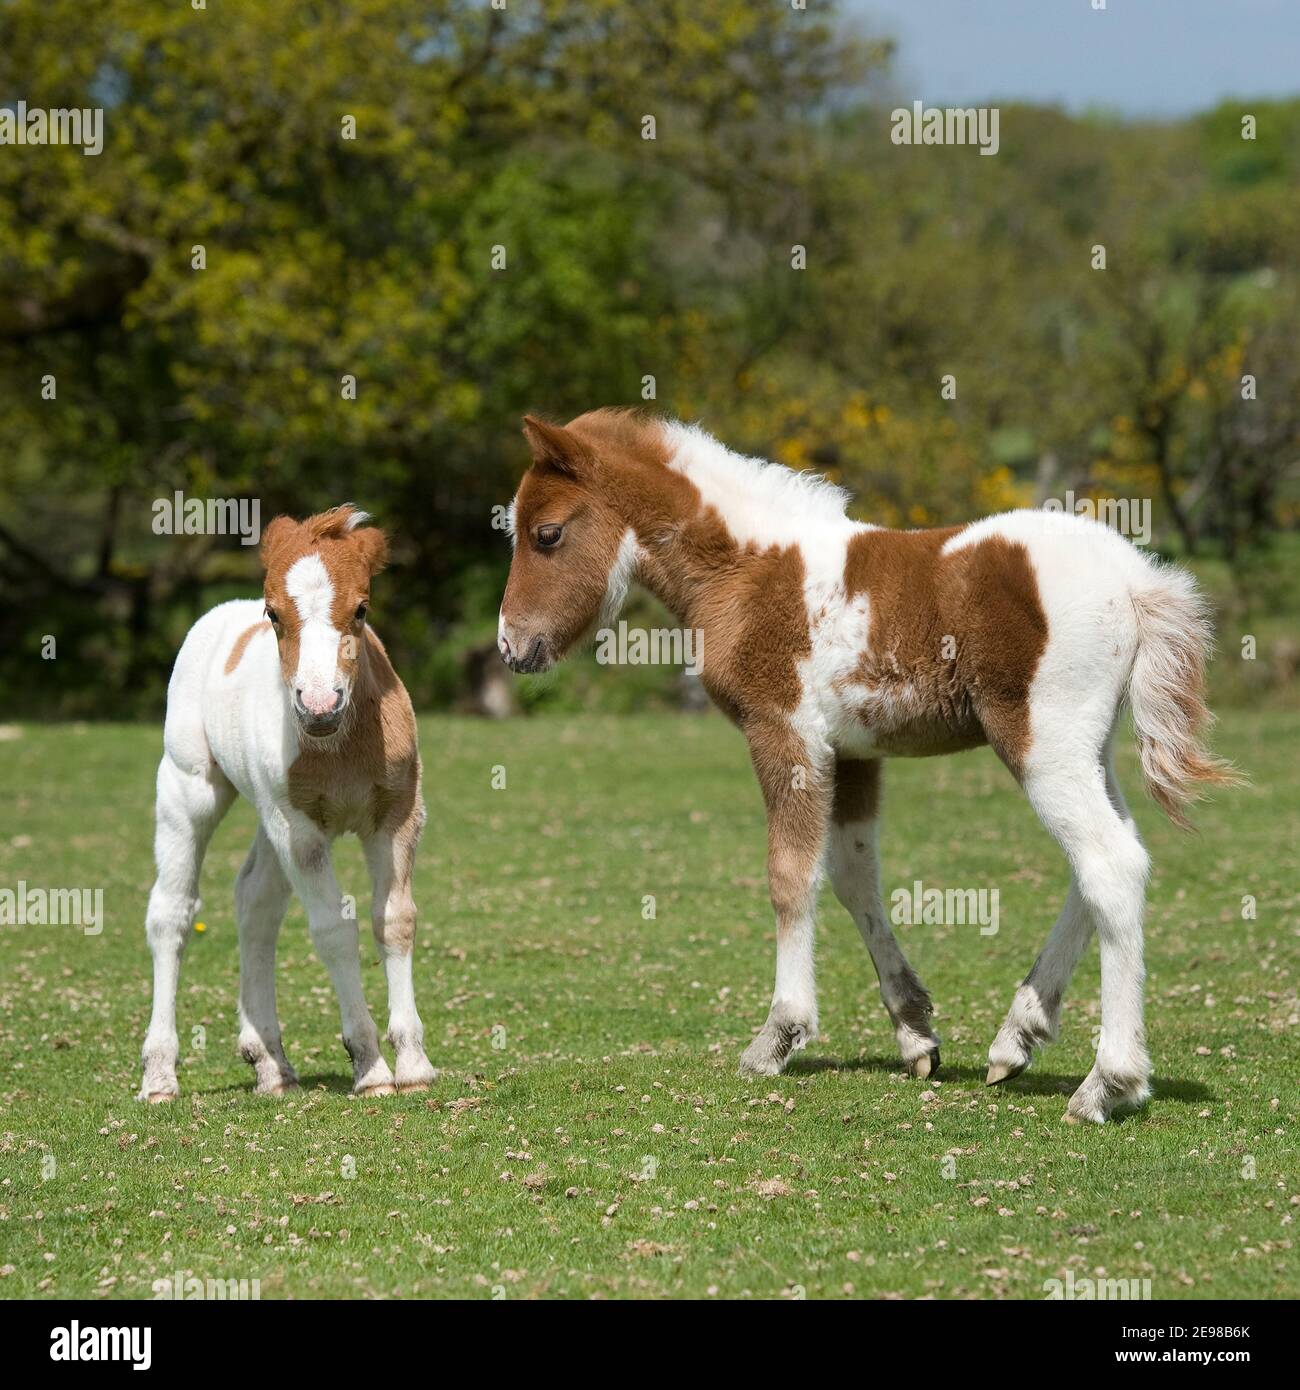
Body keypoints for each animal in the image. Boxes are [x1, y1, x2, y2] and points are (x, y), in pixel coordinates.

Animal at [139, 505, 436, 1100]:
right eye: (274, 613)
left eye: (362, 609)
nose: (318, 705)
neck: (338, 745)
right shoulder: (300, 831)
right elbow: (333, 928)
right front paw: (370, 1067)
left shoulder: (396, 817)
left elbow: (394, 919)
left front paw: (414, 1064)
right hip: (190, 792)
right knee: (171, 912)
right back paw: (159, 1075)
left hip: (267, 815)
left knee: (256, 901)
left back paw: (269, 1062)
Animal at [497, 405, 1240, 1123]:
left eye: (547, 534)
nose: (511, 647)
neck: (751, 568)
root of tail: (1137, 580)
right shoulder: (853, 755)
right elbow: (855, 878)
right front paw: (915, 1034)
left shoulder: (785, 736)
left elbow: (790, 877)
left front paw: (778, 1036)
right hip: (1088, 751)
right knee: (1113, 861)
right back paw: (1017, 1037)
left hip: (1042, 743)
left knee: (1110, 866)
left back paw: (1106, 1085)